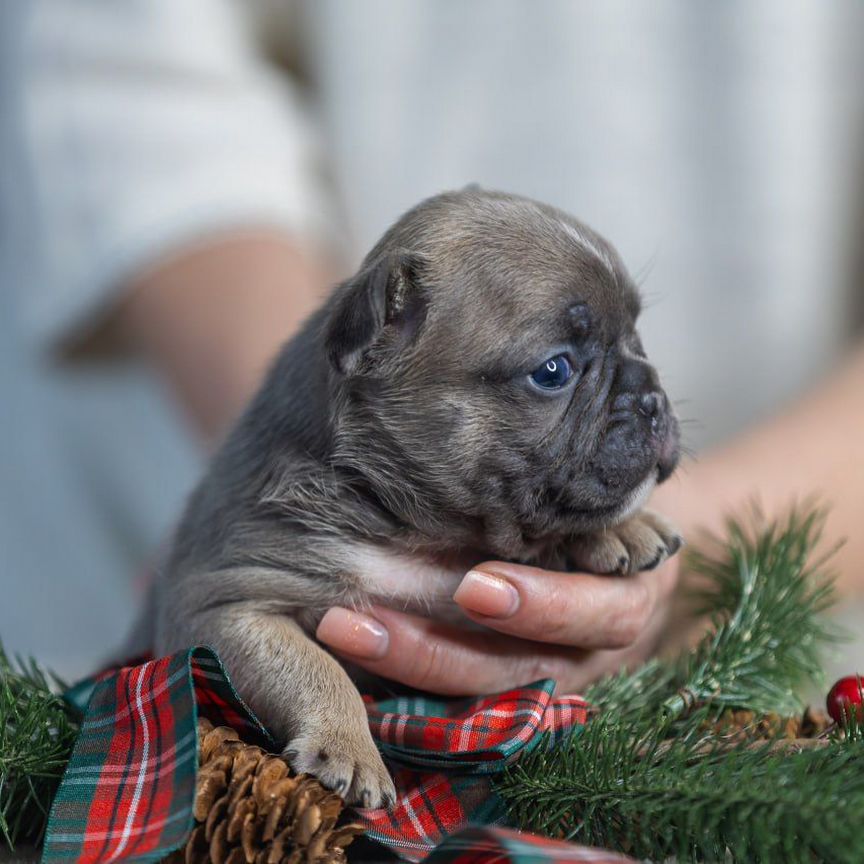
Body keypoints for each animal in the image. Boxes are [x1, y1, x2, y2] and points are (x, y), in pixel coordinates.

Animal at [154, 186, 680, 808]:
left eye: (638, 339)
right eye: (554, 371)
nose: (652, 396)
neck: (418, 529)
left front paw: (623, 527)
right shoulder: (224, 607)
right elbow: (313, 667)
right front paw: (349, 748)